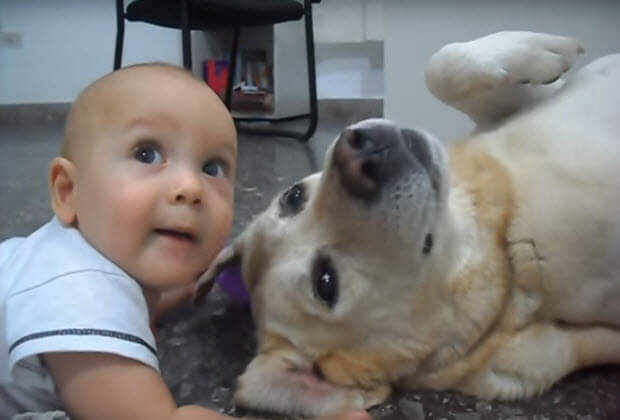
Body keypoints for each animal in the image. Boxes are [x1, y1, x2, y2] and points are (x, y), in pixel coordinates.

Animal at [195, 31, 620, 416]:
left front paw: (542, 51)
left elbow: (441, 65)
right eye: (325, 283)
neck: (500, 228)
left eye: (293, 196)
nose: (356, 153)